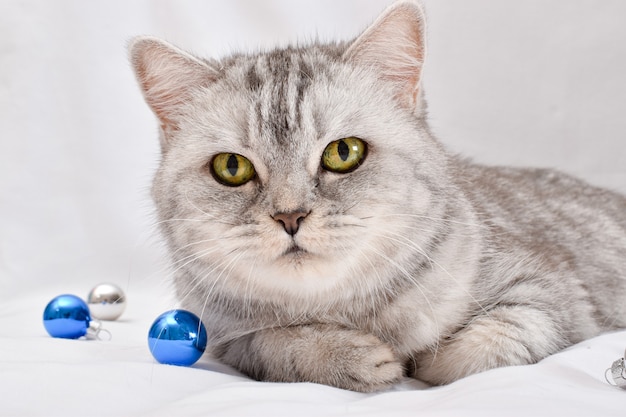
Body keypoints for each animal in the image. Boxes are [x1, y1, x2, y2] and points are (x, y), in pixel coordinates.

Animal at [128, 0, 624, 390]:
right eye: (232, 168)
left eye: (343, 152)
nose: (290, 216)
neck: (348, 309)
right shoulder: (224, 336)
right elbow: (275, 342)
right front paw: (348, 356)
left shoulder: (553, 293)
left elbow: (486, 345)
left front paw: (428, 361)